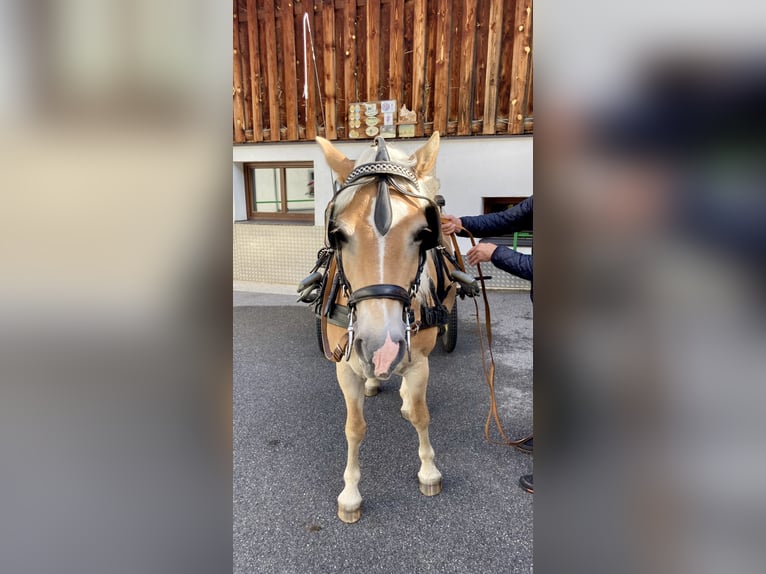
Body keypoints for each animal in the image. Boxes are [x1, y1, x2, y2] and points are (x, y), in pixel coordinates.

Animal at [312, 134, 462, 528]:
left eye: (424, 234)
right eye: (338, 234)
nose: (382, 350)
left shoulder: (419, 360)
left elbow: (422, 415)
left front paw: (429, 471)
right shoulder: (344, 366)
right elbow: (354, 427)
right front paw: (350, 494)